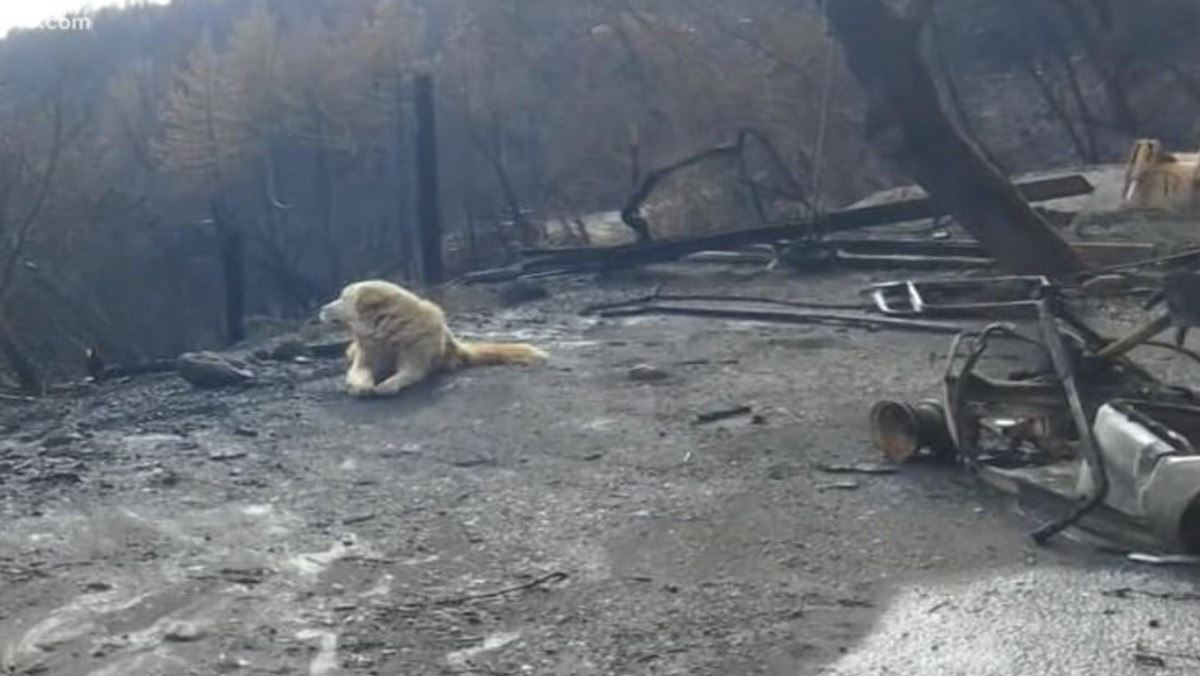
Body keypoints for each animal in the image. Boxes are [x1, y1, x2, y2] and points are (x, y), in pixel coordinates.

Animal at [316, 278, 547, 396]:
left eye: (342, 298)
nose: (322, 308)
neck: (386, 330)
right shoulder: (369, 352)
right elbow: (359, 370)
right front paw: (361, 386)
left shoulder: (415, 354)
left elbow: (408, 372)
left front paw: (386, 386)